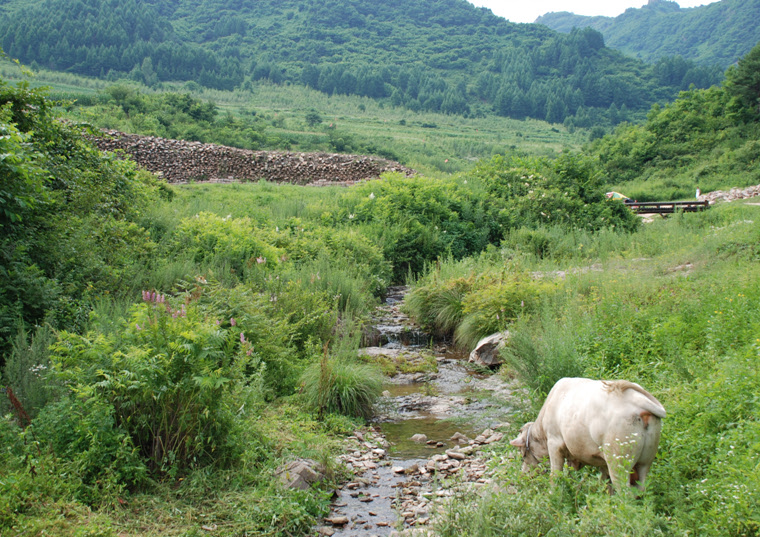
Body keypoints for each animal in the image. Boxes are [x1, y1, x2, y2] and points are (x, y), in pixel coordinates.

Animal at [510, 376, 664, 490]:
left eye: (523, 456)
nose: (523, 475)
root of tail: (637, 401)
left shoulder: (554, 443)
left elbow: (555, 475)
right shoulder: (601, 461)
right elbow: (604, 482)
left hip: (618, 462)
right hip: (645, 461)